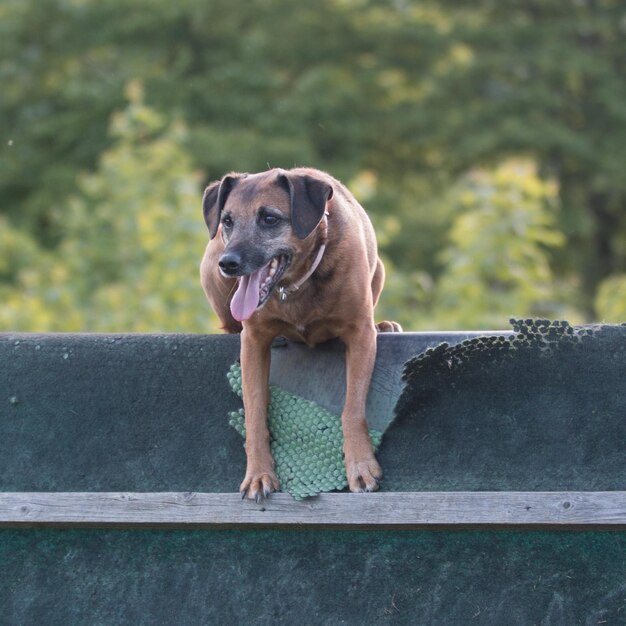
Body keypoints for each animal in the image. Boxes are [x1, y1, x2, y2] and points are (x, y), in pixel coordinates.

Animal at [200, 166, 400, 498]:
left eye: (269, 218)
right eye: (227, 220)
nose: (229, 263)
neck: (296, 283)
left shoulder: (359, 335)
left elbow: (352, 408)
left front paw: (360, 465)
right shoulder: (253, 342)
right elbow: (255, 413)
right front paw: (258, 474)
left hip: (380, 271)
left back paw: (385, 325)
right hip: (210, 265)